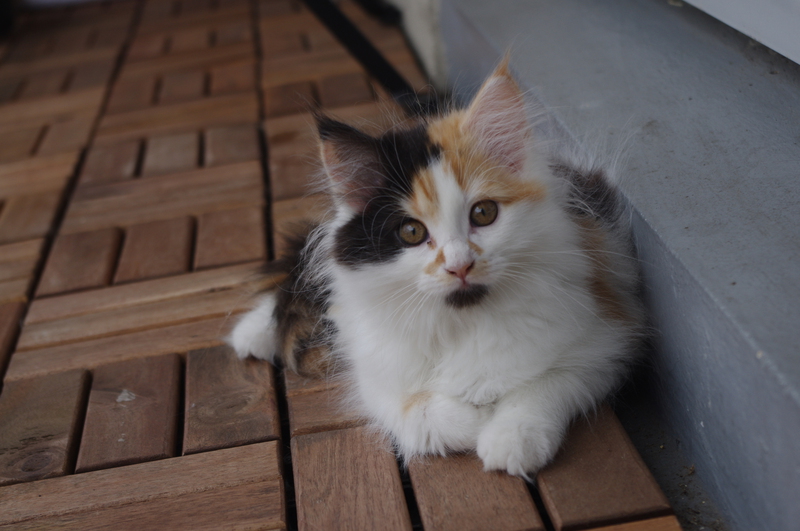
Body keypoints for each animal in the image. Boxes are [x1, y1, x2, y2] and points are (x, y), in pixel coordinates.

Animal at [228, 60, 645, 477]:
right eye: (412, 232)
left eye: (484, 213)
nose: (460, 265)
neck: (462, 322)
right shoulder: (376, 372)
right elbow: (412, 407)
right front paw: (476, 421)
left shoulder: (605, 340)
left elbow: (545, 384)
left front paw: (511, 437)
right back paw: (250, 332)